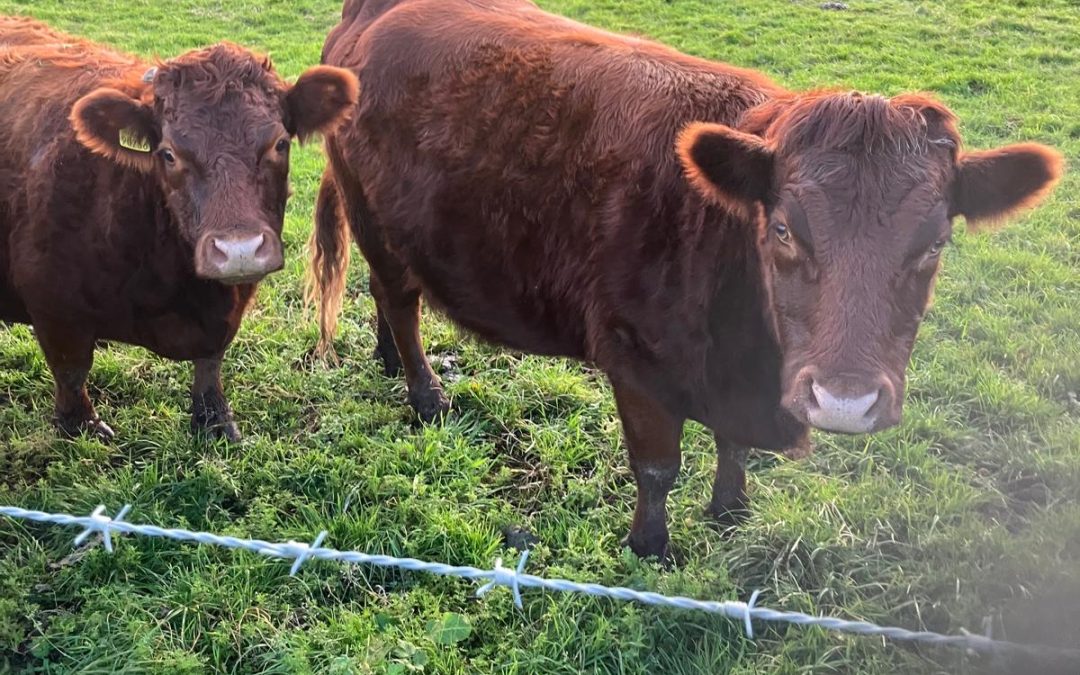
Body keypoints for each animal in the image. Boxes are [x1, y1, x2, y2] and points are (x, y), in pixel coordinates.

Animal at [0, 16, 358, 441]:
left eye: (280, 144)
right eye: (169, 154)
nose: (239, 250)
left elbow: (210, 363)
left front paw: (214, 419)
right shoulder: (54, 306)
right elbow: (71, 371)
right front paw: (79, 424)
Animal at [309, 0, 1063, 558]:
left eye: (934, 244)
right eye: (782, 229)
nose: (845, 401)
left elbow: (732, 445)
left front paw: (731, 506)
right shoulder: (633, 359)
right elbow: (657, 466)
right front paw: (650, 545)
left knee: (386, 294)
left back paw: (386, 359)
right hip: (374, 218)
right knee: (400, 300)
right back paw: (425, 392)